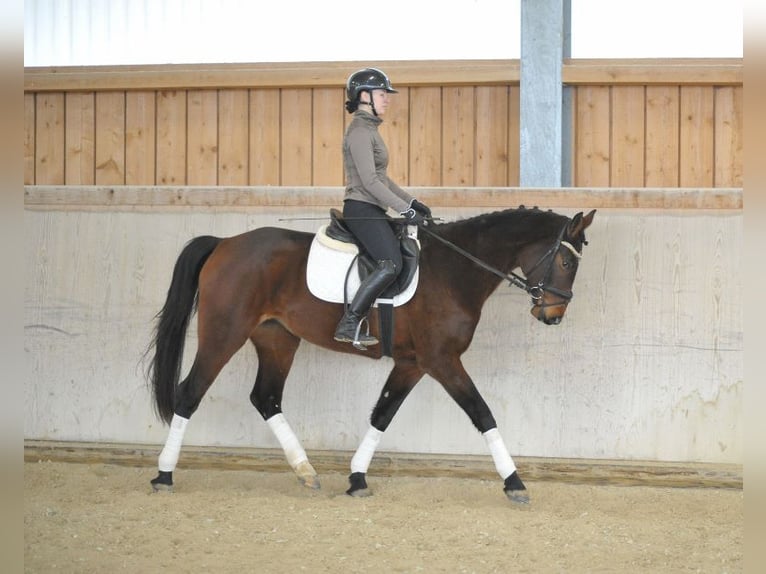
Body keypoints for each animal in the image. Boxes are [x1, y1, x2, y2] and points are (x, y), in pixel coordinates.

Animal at [147, 206, 596, 504]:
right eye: (563, 259)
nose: (553, 315)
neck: (455, 270)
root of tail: (224, 243)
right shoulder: (442, 360)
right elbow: (482, 412)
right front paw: (514, 482)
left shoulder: (413, 363)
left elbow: (383, 413)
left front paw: (357, 478)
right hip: (224, 334)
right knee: (190, 393)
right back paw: (164, 475)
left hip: (277, 339)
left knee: (266, 398)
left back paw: (306, 472)